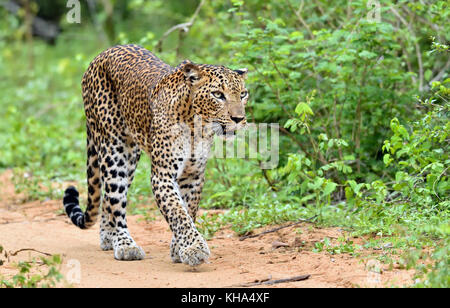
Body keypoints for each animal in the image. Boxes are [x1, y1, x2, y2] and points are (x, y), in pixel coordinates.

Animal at [62, 44, 250, 268]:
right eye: (218, 94)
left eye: (243, 94)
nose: (239, 119)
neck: (196, 127)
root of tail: (102, 54)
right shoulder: (163, 175)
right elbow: (178, 213)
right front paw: (194, 249)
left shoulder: (193, 175)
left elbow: (188, 210)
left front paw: (179, 249)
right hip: (114, 150)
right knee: (115, 199)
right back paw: (125, 244)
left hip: (131, 157)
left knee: (108, 196)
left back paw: (108, 238)